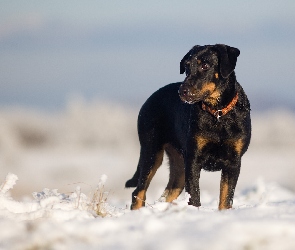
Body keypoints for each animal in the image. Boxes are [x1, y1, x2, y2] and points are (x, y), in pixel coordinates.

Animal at [125, 44, 252, 210]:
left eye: (205, 66)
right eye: (186, 67)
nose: (182, 91)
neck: (218, 114)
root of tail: (148, 100)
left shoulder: (233, 162)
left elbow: (226, 198)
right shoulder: (193, 159)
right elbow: (194, 195)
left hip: (178, 165)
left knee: (168, 193)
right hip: (152, 151)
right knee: (139, 191)